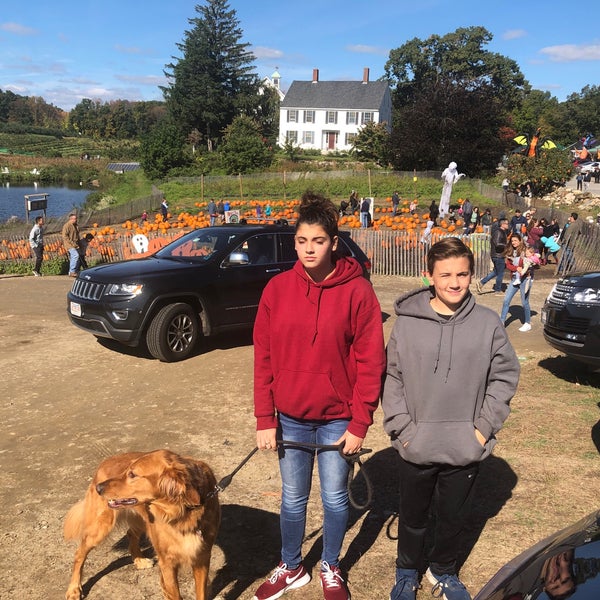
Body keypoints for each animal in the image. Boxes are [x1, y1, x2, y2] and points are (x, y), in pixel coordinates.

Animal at [63, 450, 223, 600]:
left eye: (132, 474)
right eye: (127, 471)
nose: (99, 488)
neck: (181, 514)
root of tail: (103, 463)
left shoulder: (201, 558)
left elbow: (201, 594)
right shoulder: (167, 562)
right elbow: (174, 594)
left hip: (143, 520)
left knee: (130, 533)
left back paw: (139, 560)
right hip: (100, 528)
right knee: (79, 554)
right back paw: (74, 590)